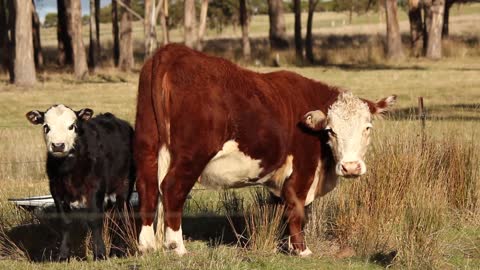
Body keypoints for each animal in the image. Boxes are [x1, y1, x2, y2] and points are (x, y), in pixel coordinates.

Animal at [133, 43, 396, 255]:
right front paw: (302, 250)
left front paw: (289, 246)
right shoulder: (303, 169)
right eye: (331, 130)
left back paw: (147, 245)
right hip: (192, 155)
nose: (351, 167)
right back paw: (176, 247)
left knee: (148, 187)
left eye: (367, 128)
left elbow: (286, 208)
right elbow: (297, 207)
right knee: (172, 188)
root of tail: (173, 51)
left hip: (148, 144)